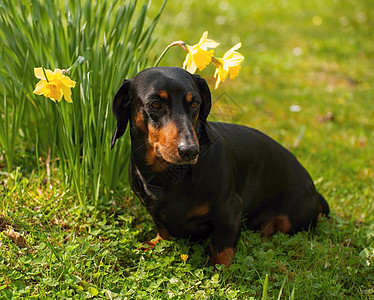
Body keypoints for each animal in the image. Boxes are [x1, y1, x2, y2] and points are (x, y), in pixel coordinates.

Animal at [110, 67, 328, 266]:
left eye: (195, 103)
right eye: (155, 104)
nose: (189, 151)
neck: (168, 177)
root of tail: (314, 190)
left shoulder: (230, 211)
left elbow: (221, 247)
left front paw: (219, 269)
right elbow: (163, 231)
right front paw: (154, 243)